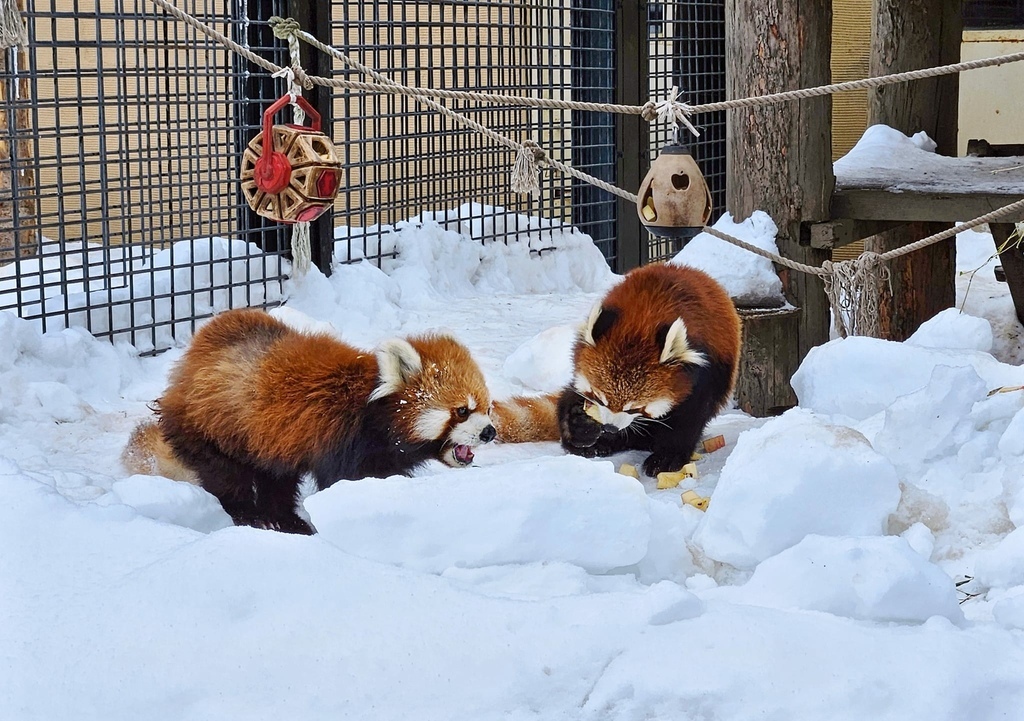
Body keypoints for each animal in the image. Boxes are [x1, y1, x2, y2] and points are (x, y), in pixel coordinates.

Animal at [123, 307, 495, 532]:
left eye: (487, 408)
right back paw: (249, 515)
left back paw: (285, 519)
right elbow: (345, 481)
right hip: (209, 429)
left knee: (276, 478)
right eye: (462, 410)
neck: (373, 414)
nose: (489, 433)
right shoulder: (344, 443)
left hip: (267, 438)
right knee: (227, 476)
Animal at [491, 262, 741, 475]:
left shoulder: (706, 374)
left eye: (635, 408)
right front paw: (580, 423)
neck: (644, 319)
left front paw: (668, 456)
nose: (610, 428)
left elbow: (689, 418)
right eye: (599, 398)